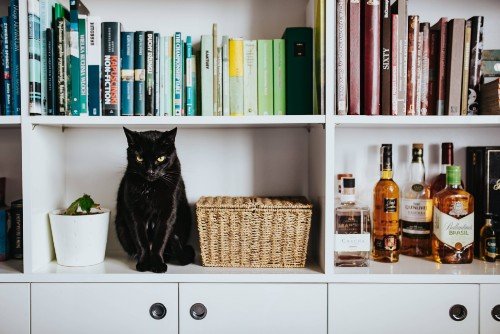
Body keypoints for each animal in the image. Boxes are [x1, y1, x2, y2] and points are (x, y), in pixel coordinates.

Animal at [115, 126, 195, 272]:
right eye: (139, 158)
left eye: (161, 158)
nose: (150, 171)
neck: (151, 188)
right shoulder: (134, 213)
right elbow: (141, 241)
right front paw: (144, 263)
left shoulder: (168, 213)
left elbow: (160, 240)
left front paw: (158, 264)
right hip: (121, 226)